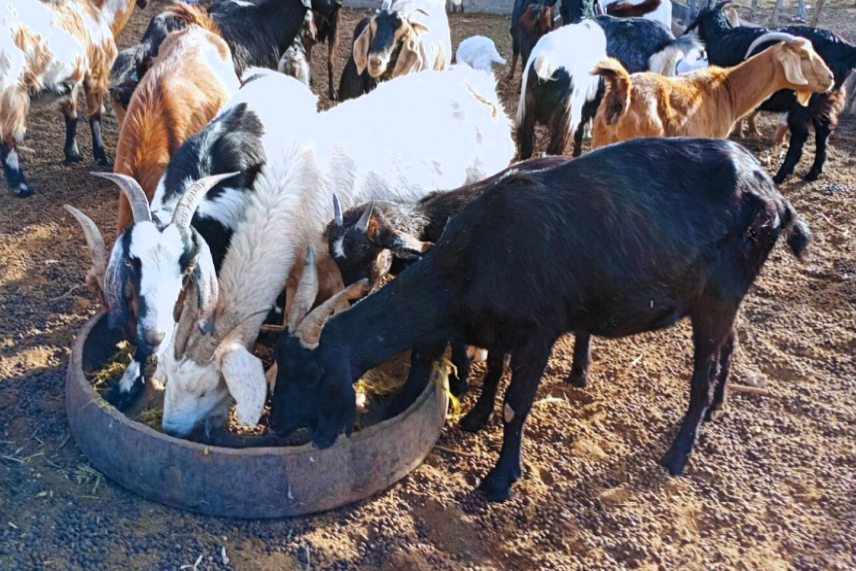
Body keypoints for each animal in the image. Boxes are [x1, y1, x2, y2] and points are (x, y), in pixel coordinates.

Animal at [0, 0, 146, 197]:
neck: (98, 11)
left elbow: (72, 115)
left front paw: (72, 154)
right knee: (8, 138)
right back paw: (22, 187)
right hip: (12, 89)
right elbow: (95, 116)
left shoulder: (72, 79)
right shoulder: (96, 72)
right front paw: (101, 157)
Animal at [153, 65, 515, 438]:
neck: (295, 192)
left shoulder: (341, 272)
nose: (171, 430)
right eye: (171, 378)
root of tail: (479, 84)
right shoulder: (298, 271)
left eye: (207, 388)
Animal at [269, 137, 811, 503]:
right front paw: (474, 417)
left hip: (719, 294)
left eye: (312, 373)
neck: (470, 257)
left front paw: (499, 479)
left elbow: (513, 403)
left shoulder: (537, 334)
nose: (275, 425)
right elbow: (489, 371)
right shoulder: (495, 326)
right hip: (722, 297)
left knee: (701, 371)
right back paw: (717, 403)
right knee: (729, 342)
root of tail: (772, 192)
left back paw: (679, 452)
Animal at [516, 21, 607, 160]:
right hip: (565, 119)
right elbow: (578, 134)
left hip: (526, 112)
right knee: (554, 149)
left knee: (527, 147)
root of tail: (548, 63)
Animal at [683, 1, 856, 182]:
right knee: (823, 131)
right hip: (825, 100)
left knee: (801, 135)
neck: (722, 37)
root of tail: (845, 48)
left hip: (805, 102)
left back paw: (780, 176)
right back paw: (813, 173)